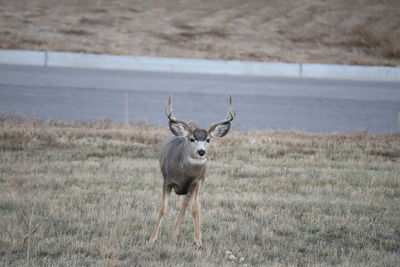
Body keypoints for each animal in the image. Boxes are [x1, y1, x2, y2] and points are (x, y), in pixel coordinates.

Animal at [149, 96, 234, 247]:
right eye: (192, 139)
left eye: (208, 139)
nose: (201, 151)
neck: (183, 174)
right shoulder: (167, 181)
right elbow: (163, 209)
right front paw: (152, 239)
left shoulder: (196, 183)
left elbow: (194, 209)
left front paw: (198, 240)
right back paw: (174, 233)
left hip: (198, 184)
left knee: (190, 205)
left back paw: (178, 233)